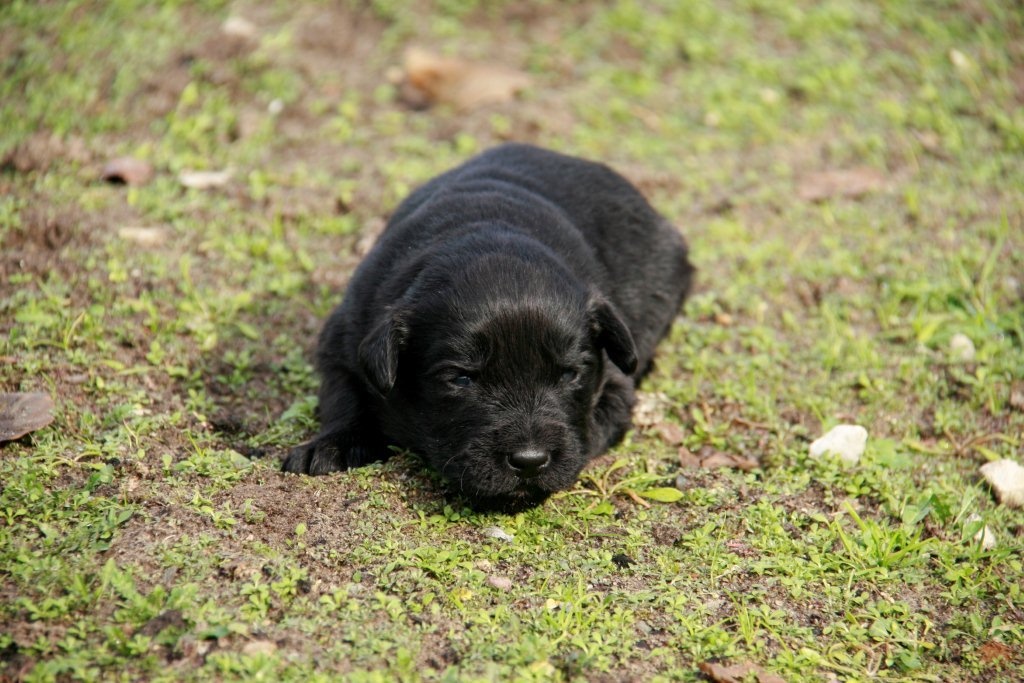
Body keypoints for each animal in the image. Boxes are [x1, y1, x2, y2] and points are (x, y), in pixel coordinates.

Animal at [284, 144, 692, 509]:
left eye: (569, 374)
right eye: (461, 379)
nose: (529, 462)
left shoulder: (615, 383)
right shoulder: (346, 336)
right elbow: (343, 393)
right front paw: (330, 446)